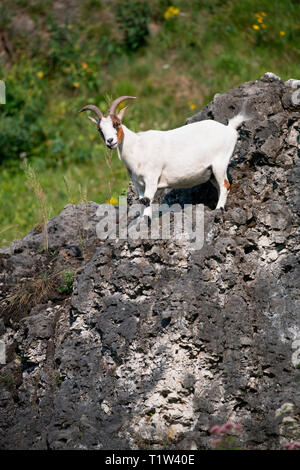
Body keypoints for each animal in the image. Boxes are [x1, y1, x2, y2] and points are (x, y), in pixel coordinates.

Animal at [78, 97, 247, 220]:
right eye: (100, 129)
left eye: (116, 124)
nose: (110, 141)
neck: (138, 147)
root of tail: (229, 129)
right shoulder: (137, 182)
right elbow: (141, 199)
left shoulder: (152, 177)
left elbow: (147, 199)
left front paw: (147, 220)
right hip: (211, 171)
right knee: (220, 186)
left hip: (219, 163)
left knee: (225, 184)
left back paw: (219, 209)